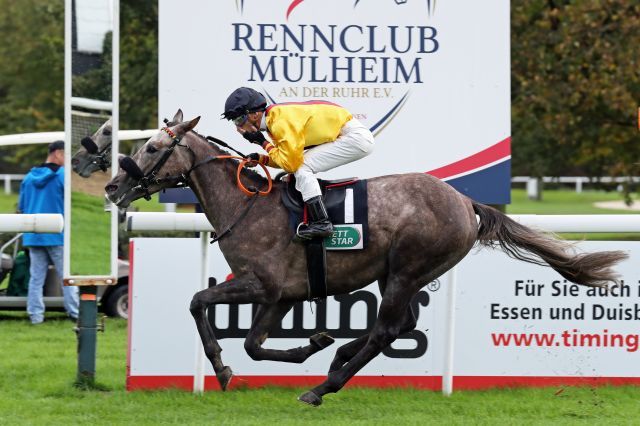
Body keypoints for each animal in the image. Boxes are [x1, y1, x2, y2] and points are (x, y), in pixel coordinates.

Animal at [104, 110, 624, 406]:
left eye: (152, 147)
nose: (112, 186)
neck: (245, 203)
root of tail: (465, 202)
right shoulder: (284, 295)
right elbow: (252, 343)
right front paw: (310, 344)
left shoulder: (263, 284)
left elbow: (198, 302)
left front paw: (222, 366)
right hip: (399, 275)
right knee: (398, 323)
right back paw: (336, 356)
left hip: (409, 268)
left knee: (388, 330)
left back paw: (322, 387)